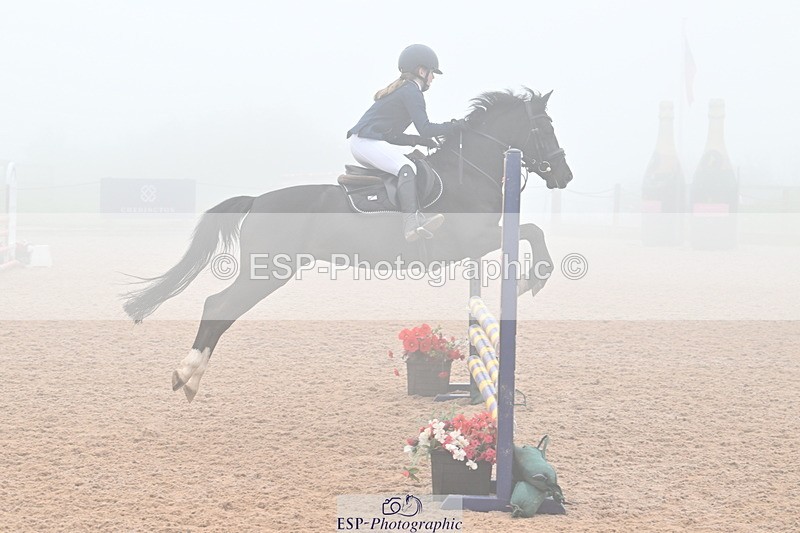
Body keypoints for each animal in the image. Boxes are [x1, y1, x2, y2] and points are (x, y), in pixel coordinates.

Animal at [123, 88, 573, 402]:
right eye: (546, 128)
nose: (564, 175)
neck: (469, 170)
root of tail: (258, 200)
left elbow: (530, 231)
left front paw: (530, 278)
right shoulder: (475, 238)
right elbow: (533, 230)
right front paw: (533, 279)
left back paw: (189, 378)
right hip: (266, 271)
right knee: (217, 306)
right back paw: (188, 376)